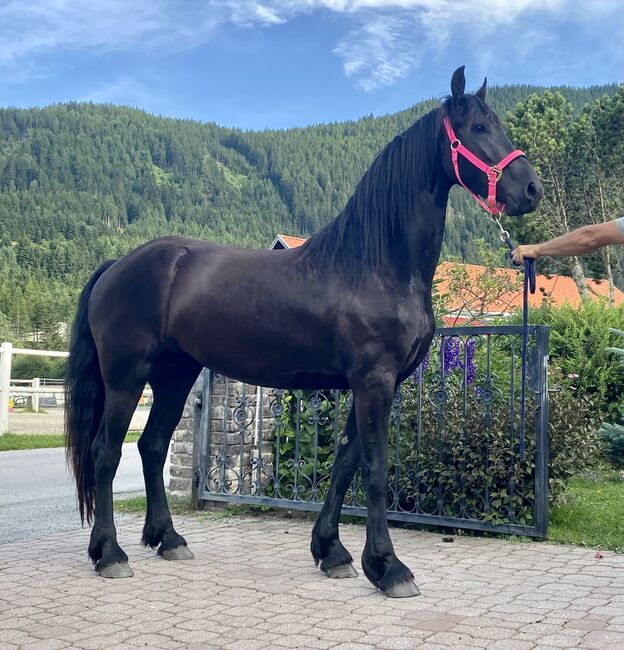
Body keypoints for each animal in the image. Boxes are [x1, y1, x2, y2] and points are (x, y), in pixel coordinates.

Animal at [64, 68, 540, 596]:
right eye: (478, 127)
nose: (531, 190)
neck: (375, 264)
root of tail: (117, 265)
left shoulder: (372, 384)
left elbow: (345, 463)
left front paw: (333, 552)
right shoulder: (373, 381)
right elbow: (374, 470)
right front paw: (389, 567)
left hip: (174, 374)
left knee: (151, 446)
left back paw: (168, 539)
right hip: (126, 376)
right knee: (106, 453)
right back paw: (110, 553)